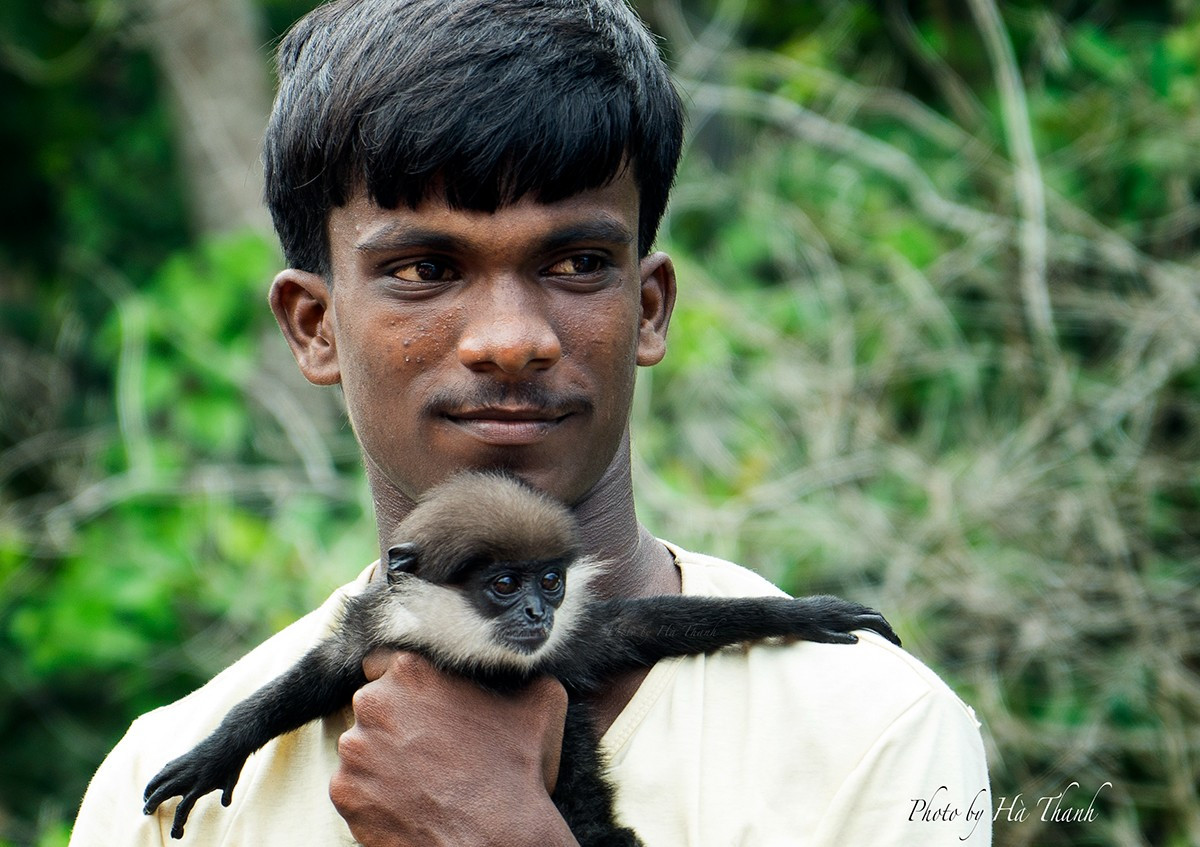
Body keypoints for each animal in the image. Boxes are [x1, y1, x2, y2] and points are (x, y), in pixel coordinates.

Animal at [142, 467, 902, 839]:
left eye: (550, 580)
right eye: (505, 584)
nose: (539, 611)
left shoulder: (568, 645)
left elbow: (644, 626)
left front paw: (805, 612)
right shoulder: (376, 635)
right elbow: (309, 679)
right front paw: (215, 752)